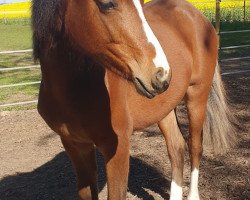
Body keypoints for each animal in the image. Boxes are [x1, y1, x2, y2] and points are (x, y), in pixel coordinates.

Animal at [31, 0, 236, 199]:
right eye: (107, 4)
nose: (161, 73)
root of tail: (195, 14)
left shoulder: (117, 147)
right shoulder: (76, 146)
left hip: (197, 96)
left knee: (195, 146)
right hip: (165, 109)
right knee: (176, 147)